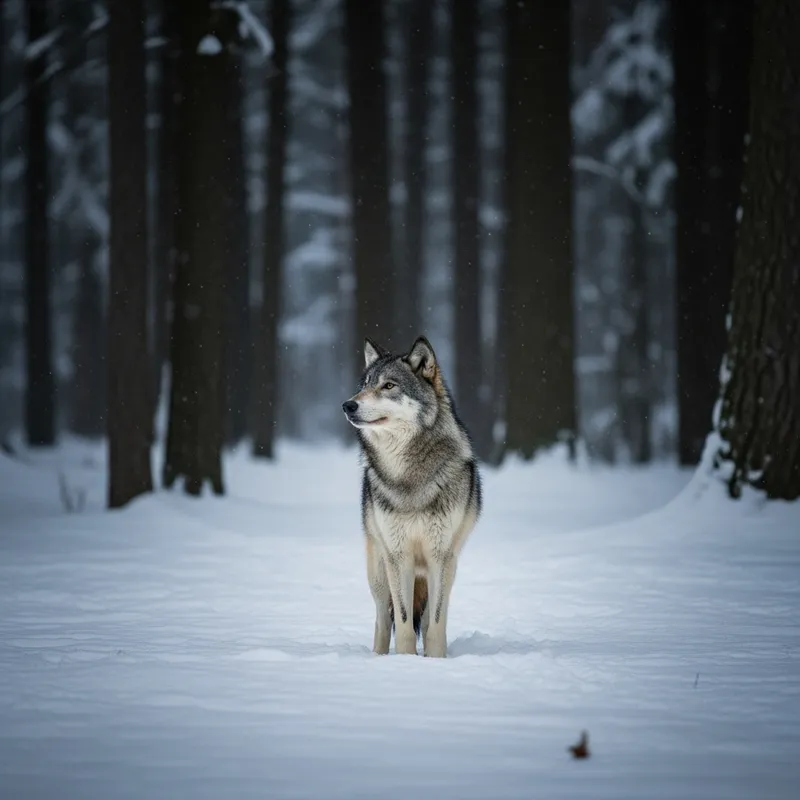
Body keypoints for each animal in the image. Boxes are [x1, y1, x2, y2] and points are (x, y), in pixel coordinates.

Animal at [342, 335, 482, 658]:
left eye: (389, 385)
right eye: (364, 384)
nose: (348, 405)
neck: (408, 476)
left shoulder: (440, 556)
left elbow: (436, 623)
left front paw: (436, 660)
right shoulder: (398, 556)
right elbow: (404, 621)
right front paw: (406, 662)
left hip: (446, 568)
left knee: (429, 616)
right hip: (379, 572)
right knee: (383, 619)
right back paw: (378, 657)